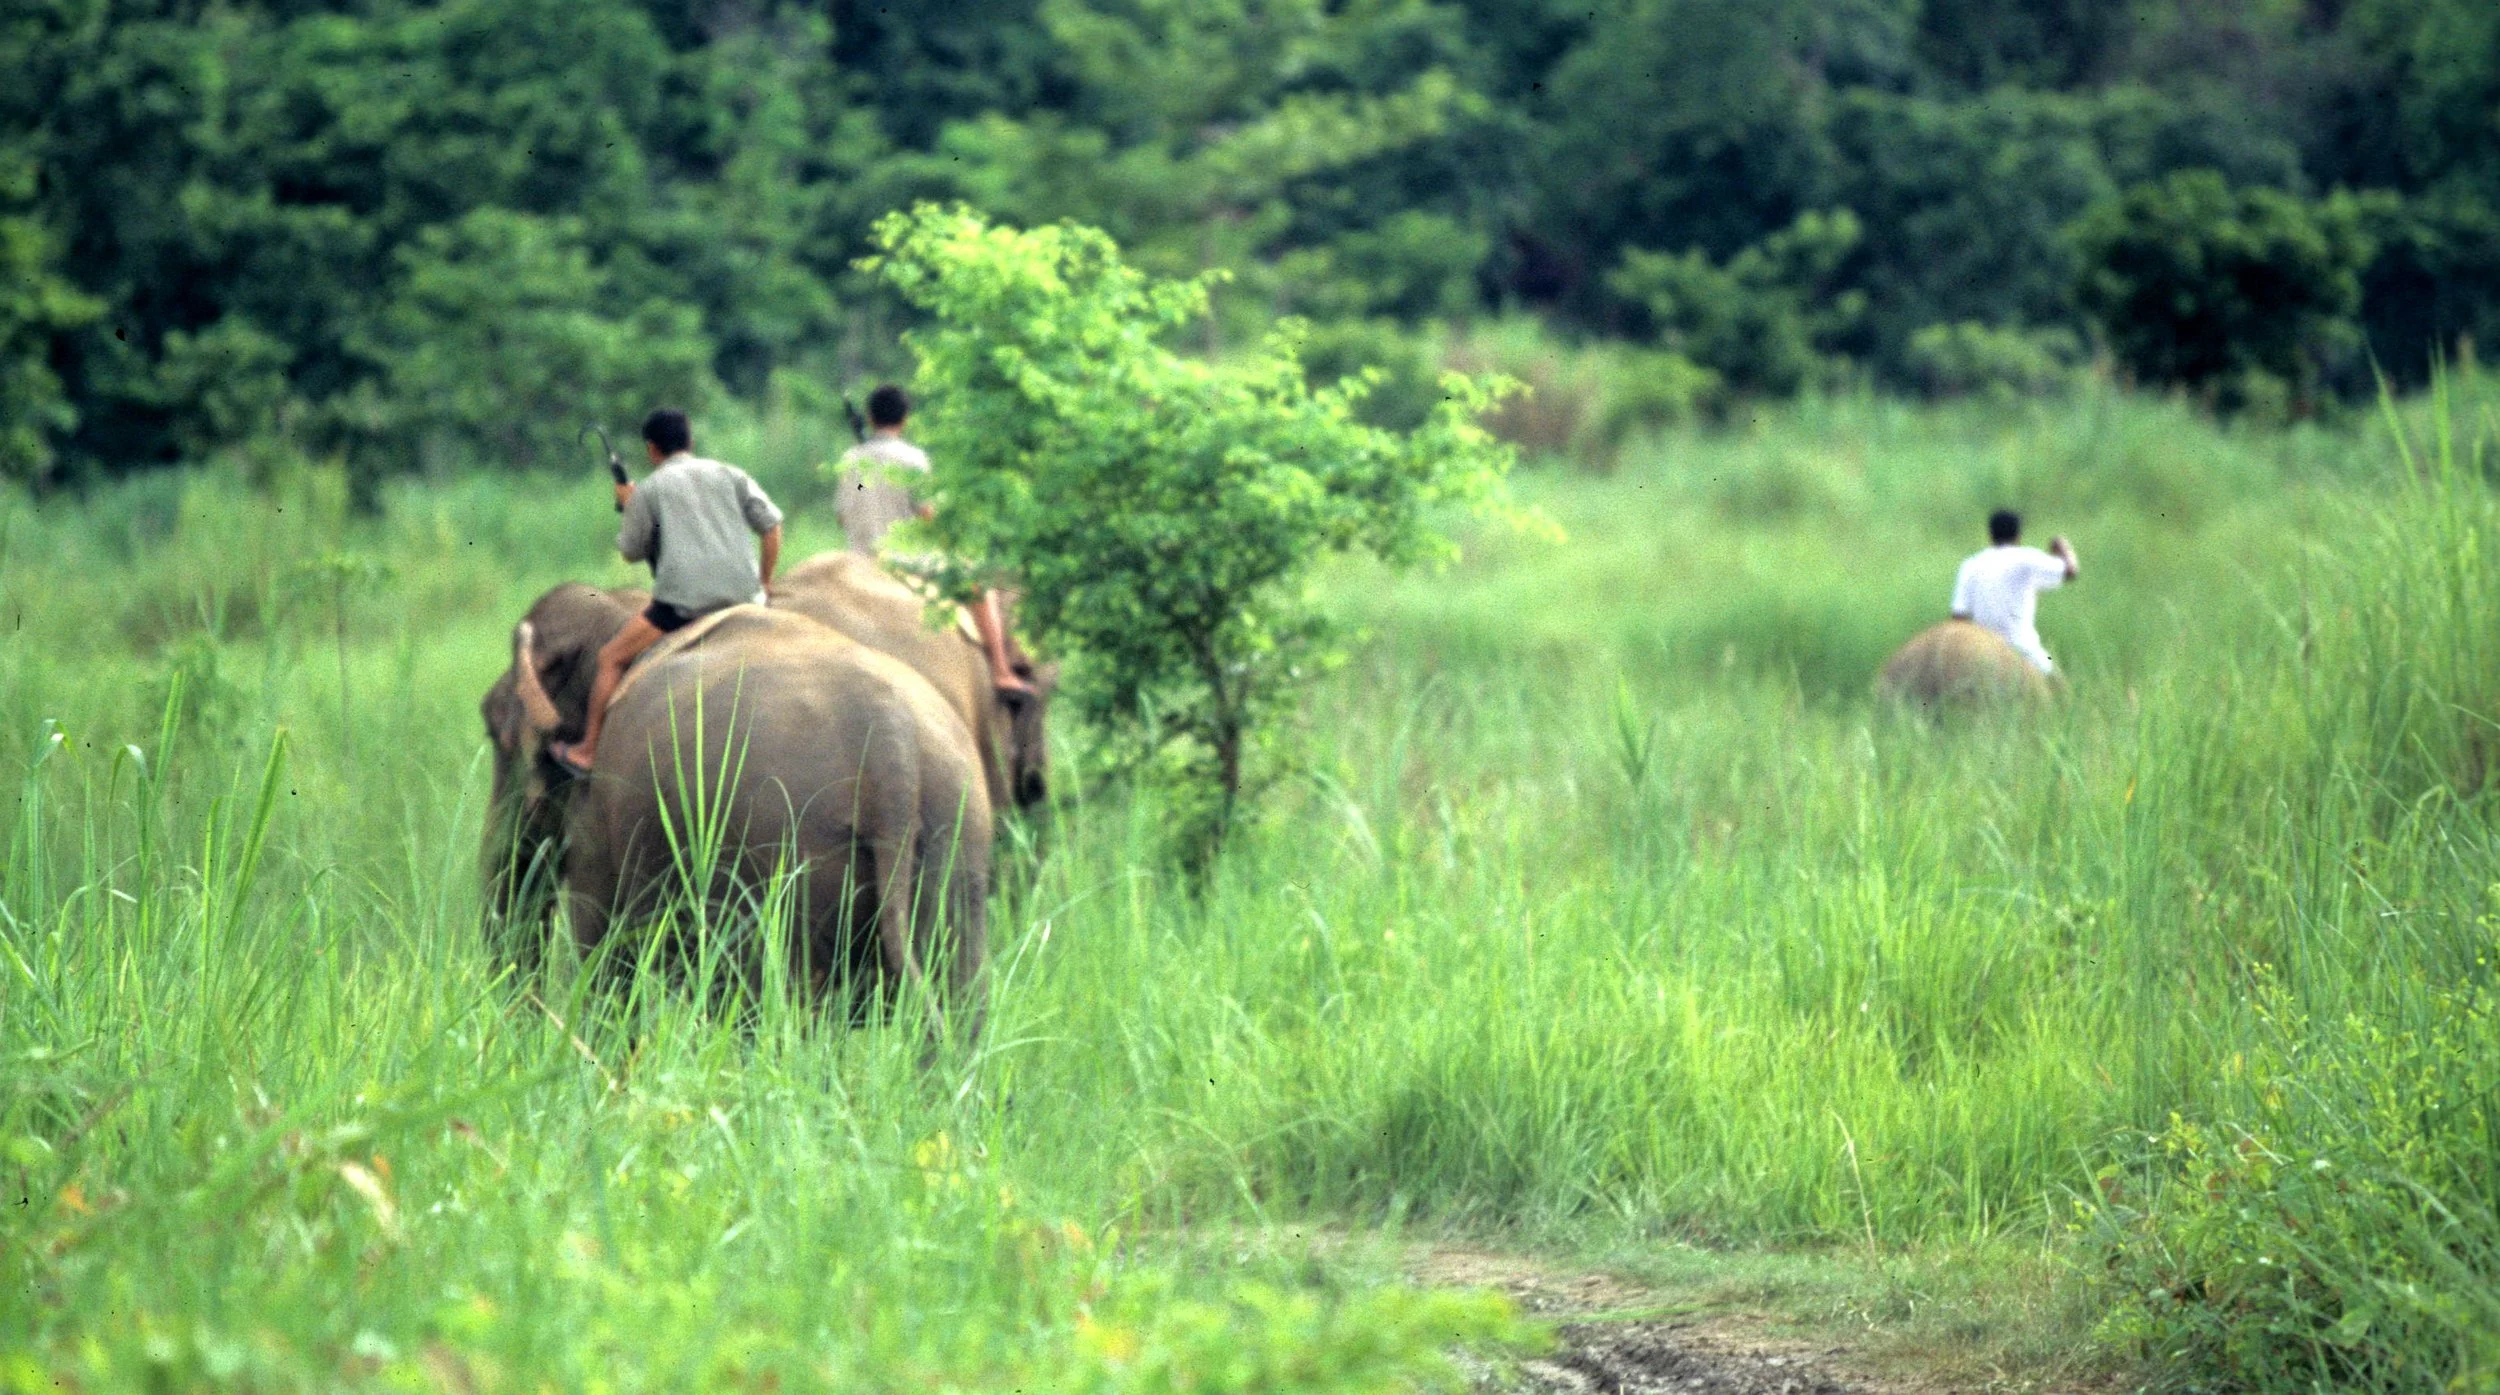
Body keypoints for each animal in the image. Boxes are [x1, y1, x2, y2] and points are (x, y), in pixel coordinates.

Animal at [478, 583, 991, 1034]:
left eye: (493, 728)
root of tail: (891, 747)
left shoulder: (599, 805)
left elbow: (601, 944)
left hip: (775, 851)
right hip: (955, 838)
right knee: (956, 1000)